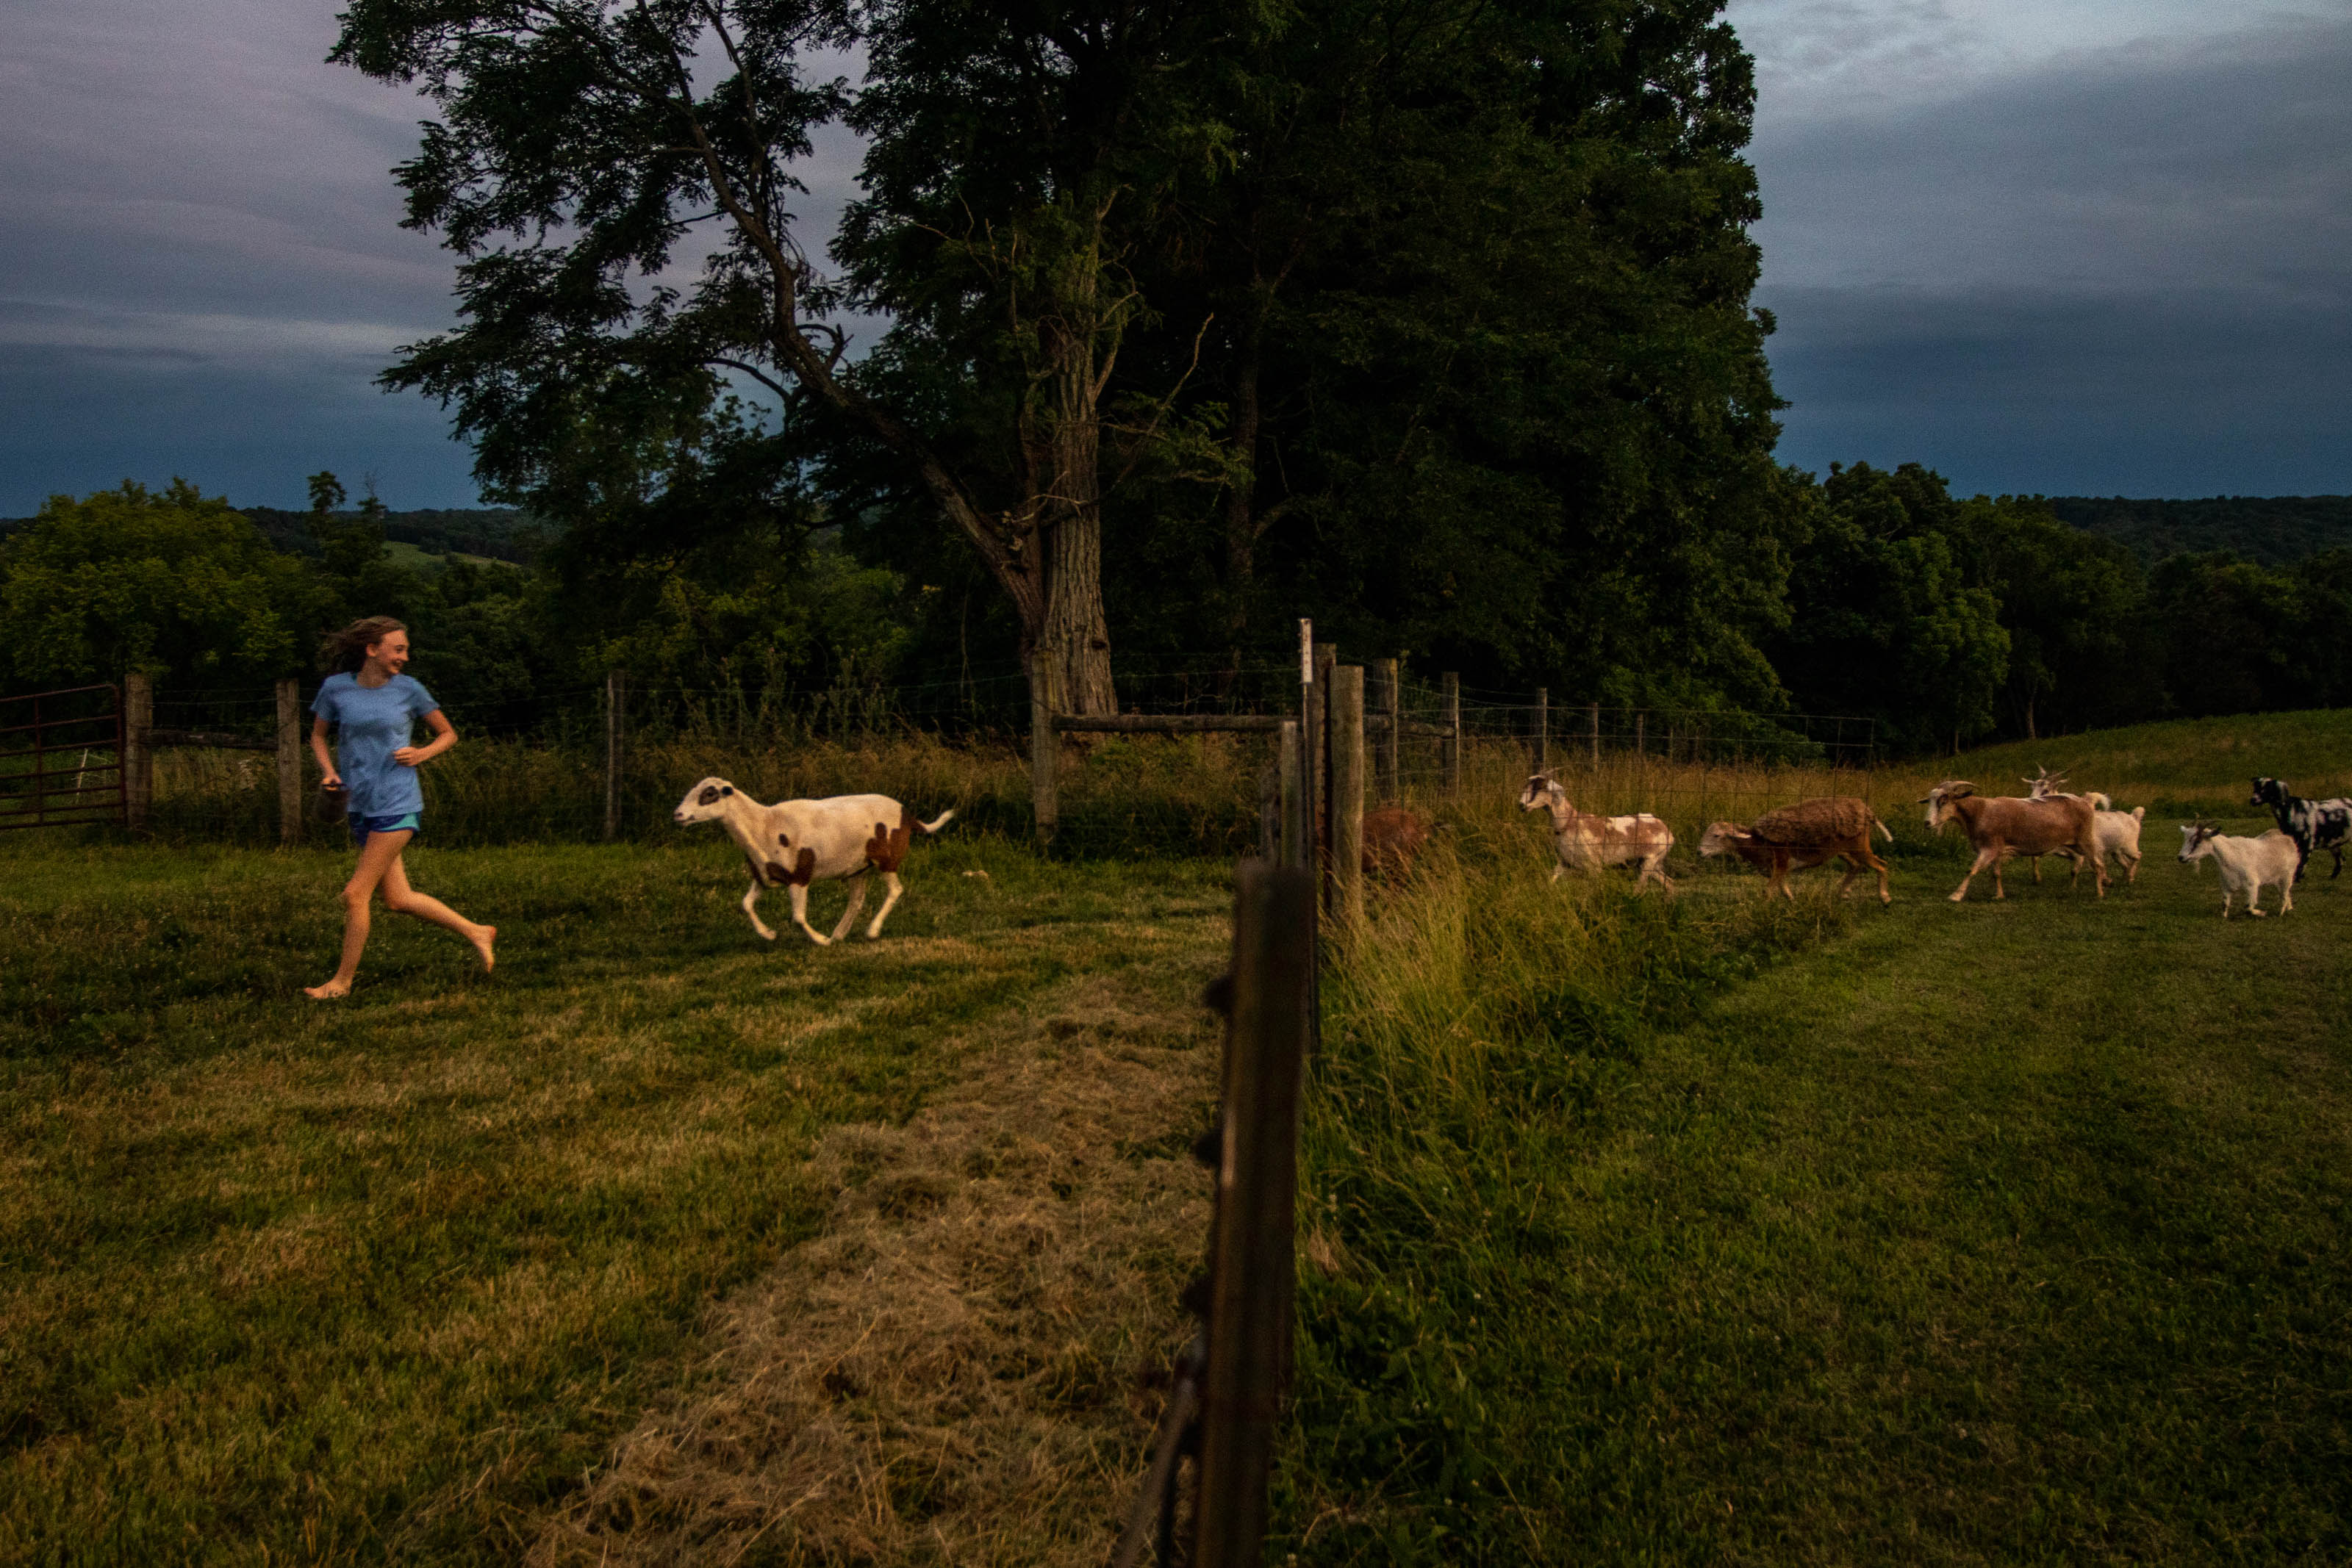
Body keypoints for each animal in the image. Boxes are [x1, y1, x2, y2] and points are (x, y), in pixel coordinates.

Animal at [673, 775, 955, 945]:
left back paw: (871, 931)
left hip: (886, 860)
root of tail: (908, 815)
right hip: (857, 868)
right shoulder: (764, 876)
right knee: (857, 900)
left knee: (895, 890)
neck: (762, 825)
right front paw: (769, 934)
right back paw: (839, 935)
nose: (678, 815)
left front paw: (819, 940)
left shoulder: (800, 875)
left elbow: (798, 918)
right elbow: (745, 905)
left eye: (709, 794)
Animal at [1514, 775, 1684, 893]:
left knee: (1640, 889)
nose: (1521, 806)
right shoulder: (1564, 861)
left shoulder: (1594, 866)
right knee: (1670, 884)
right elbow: (1551, 880)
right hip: (1646, 862)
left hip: (1650, 861)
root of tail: (1667, 830)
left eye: (1538, 788)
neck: (1569, 822)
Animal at [1919, 780, 2107, 902]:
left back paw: (2099, 893)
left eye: (1943, 801)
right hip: (2074, 844)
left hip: (2084, 840)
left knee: (2097, 864)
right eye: (1929, 801)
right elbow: (1996, 874)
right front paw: (1999, 895)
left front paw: (1956, 896)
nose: (1927, 823)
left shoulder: (1989, 848)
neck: (1980, 811)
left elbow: (1971, 870)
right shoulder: (1995, 849)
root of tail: (2086, 801)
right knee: (2093, 861)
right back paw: (2097, 883)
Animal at [2164, 822, 2295, 921]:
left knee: (2284, 895)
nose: (2181, 857)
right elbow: (2224, 904)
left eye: (2198, 841)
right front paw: (2224, 918)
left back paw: (2281, 913)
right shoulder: (2226, 884)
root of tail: (2287, 838)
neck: (2231, 854)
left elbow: (2248, 908)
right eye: (2186, 839)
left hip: (2287, 876)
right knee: (2285, 894)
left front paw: (2262, 913)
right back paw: (2289, 908)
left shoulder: (2252, 885)